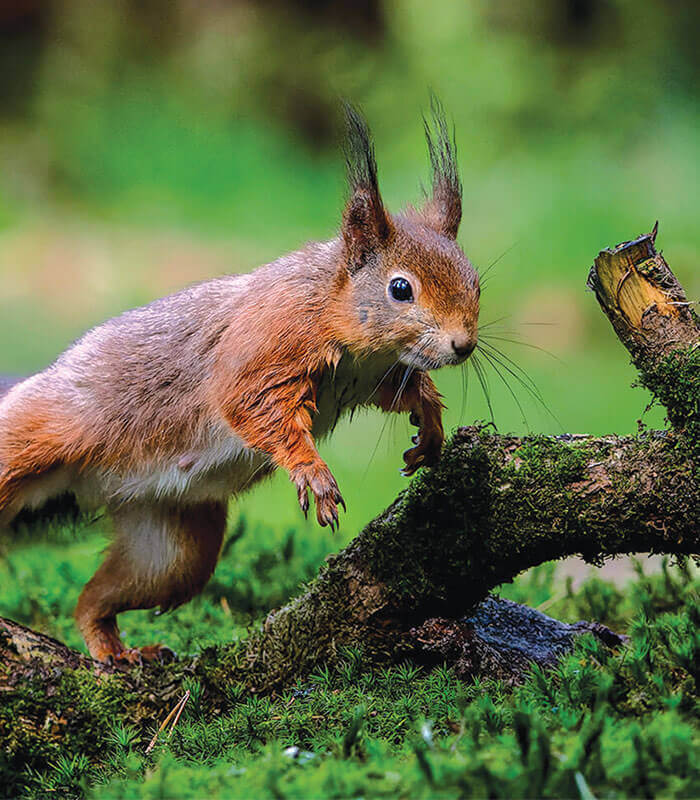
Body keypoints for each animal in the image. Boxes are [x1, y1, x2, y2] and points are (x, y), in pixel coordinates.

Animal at [0, 101, 480, 664]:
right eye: (400, 289)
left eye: (474, 280)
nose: (463, 344)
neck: (333, 308)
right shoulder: (267, 341)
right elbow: (248, 403)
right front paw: (313, 474)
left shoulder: (374, 373)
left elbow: (405, 391)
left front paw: (430, 426)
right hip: (41, 433)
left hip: (172, 546)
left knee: (99, 598)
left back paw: (116, 651)